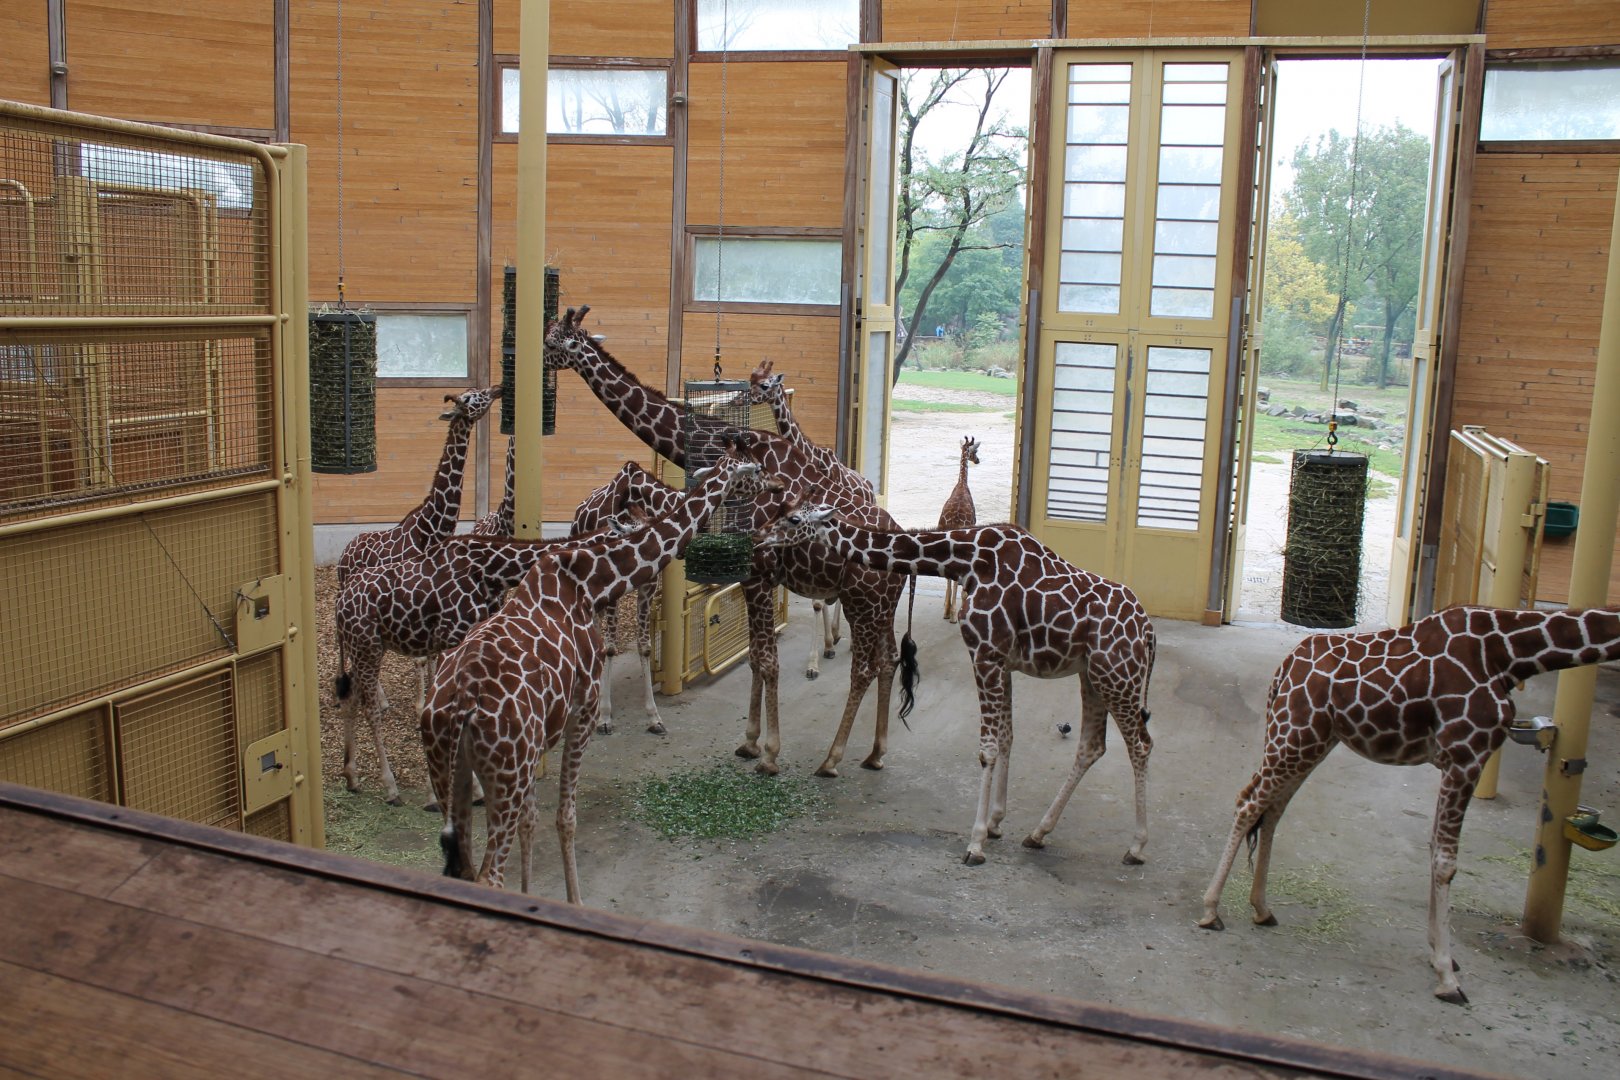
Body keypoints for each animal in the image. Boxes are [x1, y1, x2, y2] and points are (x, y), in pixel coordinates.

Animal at [332, 517, 635, 805]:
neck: (490, 572)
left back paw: (352, 777)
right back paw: (390, 788)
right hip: (367, 646)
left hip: (362, 648)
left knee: (350, 698)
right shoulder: (452, 637)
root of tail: (339, 604)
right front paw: (452, 793)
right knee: (370, 708)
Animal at [420, 439, 780, 898]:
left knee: (464, 867)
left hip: (452, 770)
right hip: (507, 769)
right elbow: (566, 818)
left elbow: (533, 821)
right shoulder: (582, 708)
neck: (587, 581)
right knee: (489, 874)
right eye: (752, 470)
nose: (775, 484)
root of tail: (458, 710)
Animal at [545, 305, 910, 778]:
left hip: (862, 601)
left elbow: (768, 660)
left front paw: (769, 753)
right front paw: (751, 743)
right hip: (877, 604)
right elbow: (755, 658)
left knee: (864, 664)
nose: (534, 359)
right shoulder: (757, 578)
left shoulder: (759, 576)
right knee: (886, 660)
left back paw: (832, 756)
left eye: (553, 341)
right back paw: (875, 752)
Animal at [754, 506, 1156, 867]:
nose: (760, 537)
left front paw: (975, 843)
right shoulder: (1002, 660)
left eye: (793, 519)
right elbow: (1007, 738)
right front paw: (995, 824)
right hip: (1093, 676)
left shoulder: (985, 653)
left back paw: (1136, 847)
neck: (966, 562)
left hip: (1118, 676)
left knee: (1140, 745)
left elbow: (988, 749)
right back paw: (1038, 833)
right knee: (1092, 746)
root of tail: (1149, 633)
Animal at [1198, 605, 1620, 1004]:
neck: (1512, 652)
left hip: (1313, 739)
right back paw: (1211, 910)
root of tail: (1285, 668)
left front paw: (1439, 955)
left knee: (1272, 810)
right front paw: (1448, 978)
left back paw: (1262, 909)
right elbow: (1446, 861)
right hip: (1295, 736)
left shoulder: (1457, 762)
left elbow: (1434, 848)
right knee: (1248, 802)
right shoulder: (1466, 756)